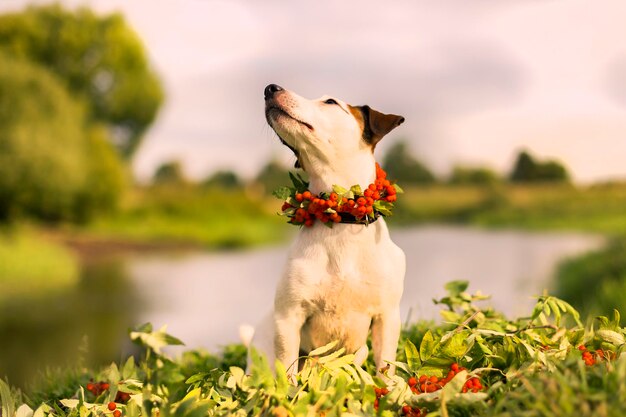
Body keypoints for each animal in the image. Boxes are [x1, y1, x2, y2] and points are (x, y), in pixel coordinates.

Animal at [249, 84, 404, 380]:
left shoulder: (387, 317)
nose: (270, 88)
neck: (341, 219)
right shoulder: (288, 319)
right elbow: (288, 374)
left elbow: (385, 368)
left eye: (330, 102)